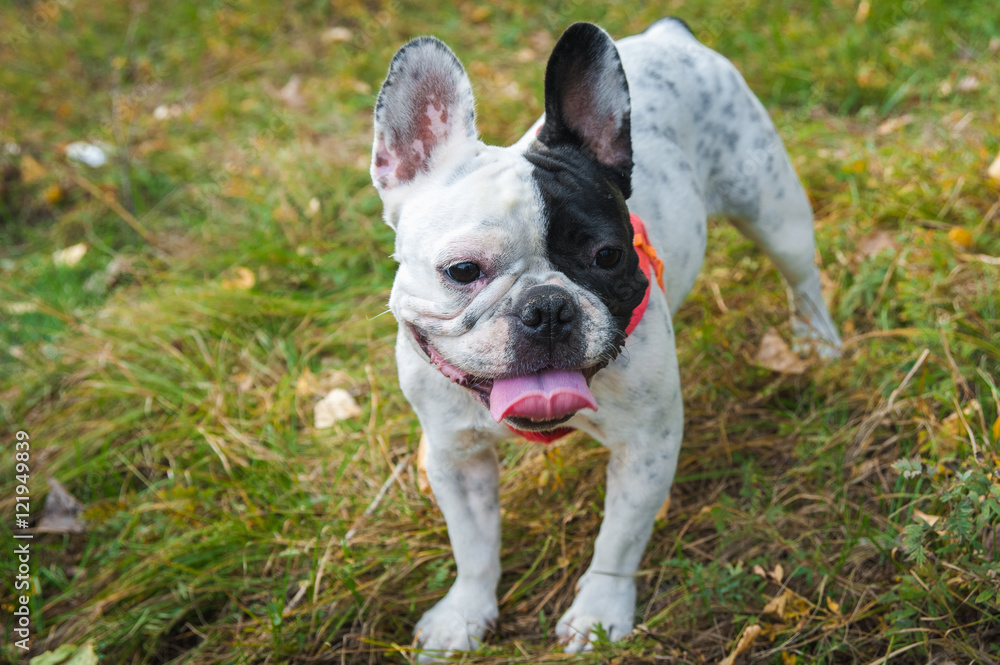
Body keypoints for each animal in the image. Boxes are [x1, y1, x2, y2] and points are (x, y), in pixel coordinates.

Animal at [372, 18, 840, 660]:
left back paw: (818, 342)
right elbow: (473, 544)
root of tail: (669, 34)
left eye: (607, 256)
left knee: (802, 276)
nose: (547, 308)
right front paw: (463, 615)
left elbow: (619, 539)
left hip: (773, 210)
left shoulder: (646, 447)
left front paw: (599, 612)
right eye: (463, 271)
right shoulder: (455, 455)